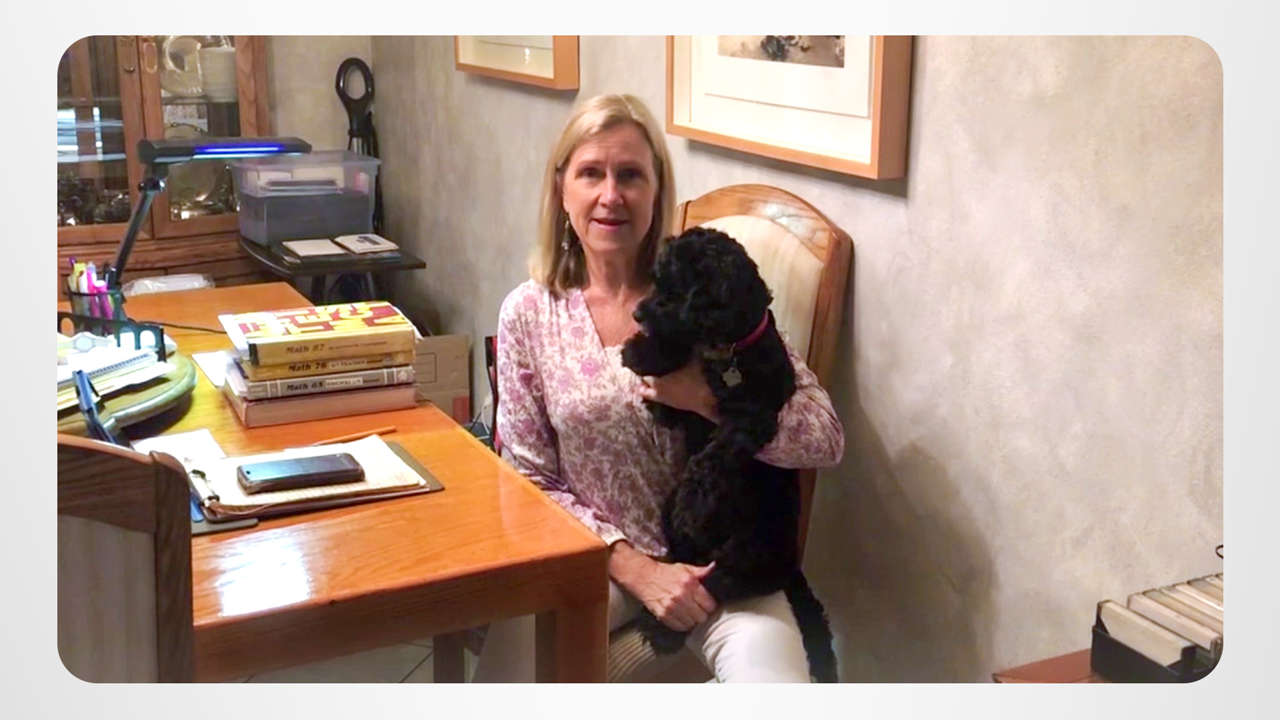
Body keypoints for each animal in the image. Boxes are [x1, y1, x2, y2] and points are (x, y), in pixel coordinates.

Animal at [620, 226, 838, 683]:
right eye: (656, 282)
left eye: (676, 290)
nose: (637, 314)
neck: (729, 351)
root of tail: (790, 568)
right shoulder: (679, 410)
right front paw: (646, 351)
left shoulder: (754, 420)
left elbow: (712, 459)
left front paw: (696, 503)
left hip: (747, 551)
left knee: (712, 585)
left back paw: (662, 630)